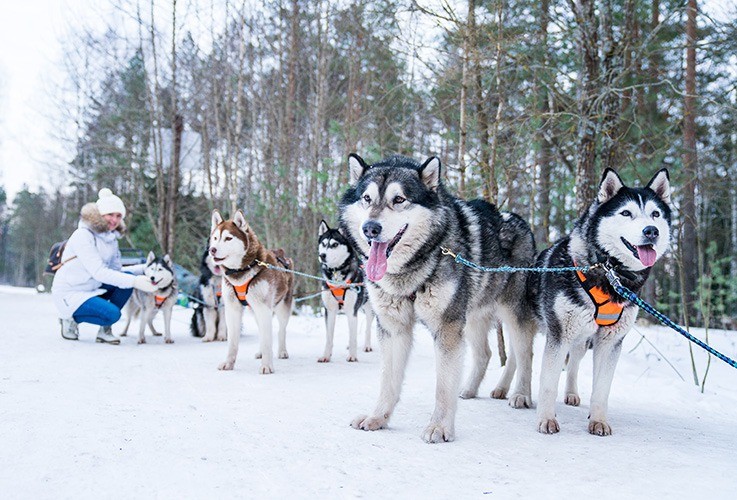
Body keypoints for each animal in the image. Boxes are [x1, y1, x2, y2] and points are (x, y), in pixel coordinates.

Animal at [208, 209, 294, 374]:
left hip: (281, 307)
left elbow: (268, 340)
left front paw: (267, 365)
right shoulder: (232, 309)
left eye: (228, 238)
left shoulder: (263, 308)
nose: (212, 250)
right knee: (262, 331)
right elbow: (233, 342)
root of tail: (280, 253)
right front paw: (228, 363)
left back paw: (282, 351)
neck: (241, 271)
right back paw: (261, 352)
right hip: (255, 311)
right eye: (215, 238)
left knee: (281, 331)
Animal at [316, 221, 374, 362]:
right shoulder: (330, 311)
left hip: (369, 309)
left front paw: (352, 356)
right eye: (323, 244)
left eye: (335, 244)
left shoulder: (351, 310)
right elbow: (329, 337)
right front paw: (326, 356)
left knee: (368, 327)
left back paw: (367, 346)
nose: (322, 255)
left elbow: (353, 336)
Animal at [338, 154, 536, 444]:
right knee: (485, 353)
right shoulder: (393, 328)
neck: (413, 269)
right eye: (366, 198)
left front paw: (440, 427)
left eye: (399, 199)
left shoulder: (447, 328)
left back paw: (521, 394)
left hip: (512, 315)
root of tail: (519, 220)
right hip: (472, 318)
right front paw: (378, 418)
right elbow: (388, 381)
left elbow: (443, 386)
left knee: (524, 354)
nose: (370, 228)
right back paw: (469, 389)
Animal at [516, 168, 668, 434]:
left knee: (574, 363)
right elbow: (548, 383)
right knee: (522, 361)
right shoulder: (559, 335)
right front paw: (546, 419)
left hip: (582, 339)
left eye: (655, 214)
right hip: (529, 329)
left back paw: (571, 394)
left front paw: (598, 420)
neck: (609, 274)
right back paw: (519, 394)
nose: (651, 230)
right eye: (626, 213)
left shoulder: (610, 341)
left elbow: (601, 390)